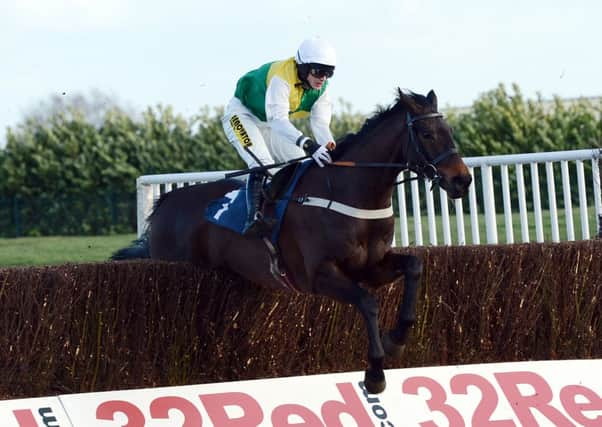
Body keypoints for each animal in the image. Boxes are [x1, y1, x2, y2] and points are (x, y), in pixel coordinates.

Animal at [111, 89, 468, 394]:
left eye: (449, 130)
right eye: (427, 134)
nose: (462, 180)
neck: (348, 191)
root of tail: (162, 206)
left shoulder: (370, 266)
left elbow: (414, 265)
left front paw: (397, 338)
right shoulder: (318, 275)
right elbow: (367, 302)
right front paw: (375, 373)